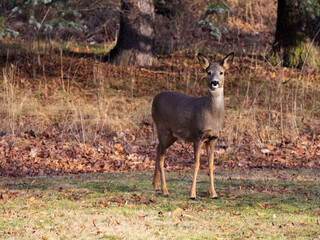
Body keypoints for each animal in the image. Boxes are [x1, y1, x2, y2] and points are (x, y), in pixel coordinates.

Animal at [151, 51, 234, 200]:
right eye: (208, 72)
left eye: (222, 72)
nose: (214, 82)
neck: (212, 116)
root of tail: (154, 99)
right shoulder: (198, 136)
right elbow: (196, 164)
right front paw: (192, 194)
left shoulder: (213, 138)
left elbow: (211, 164)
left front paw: (214, 194)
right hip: (162, 128)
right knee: (161, 157)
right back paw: (165, 191)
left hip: (172, 135)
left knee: (158, 149)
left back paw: (155, 186)